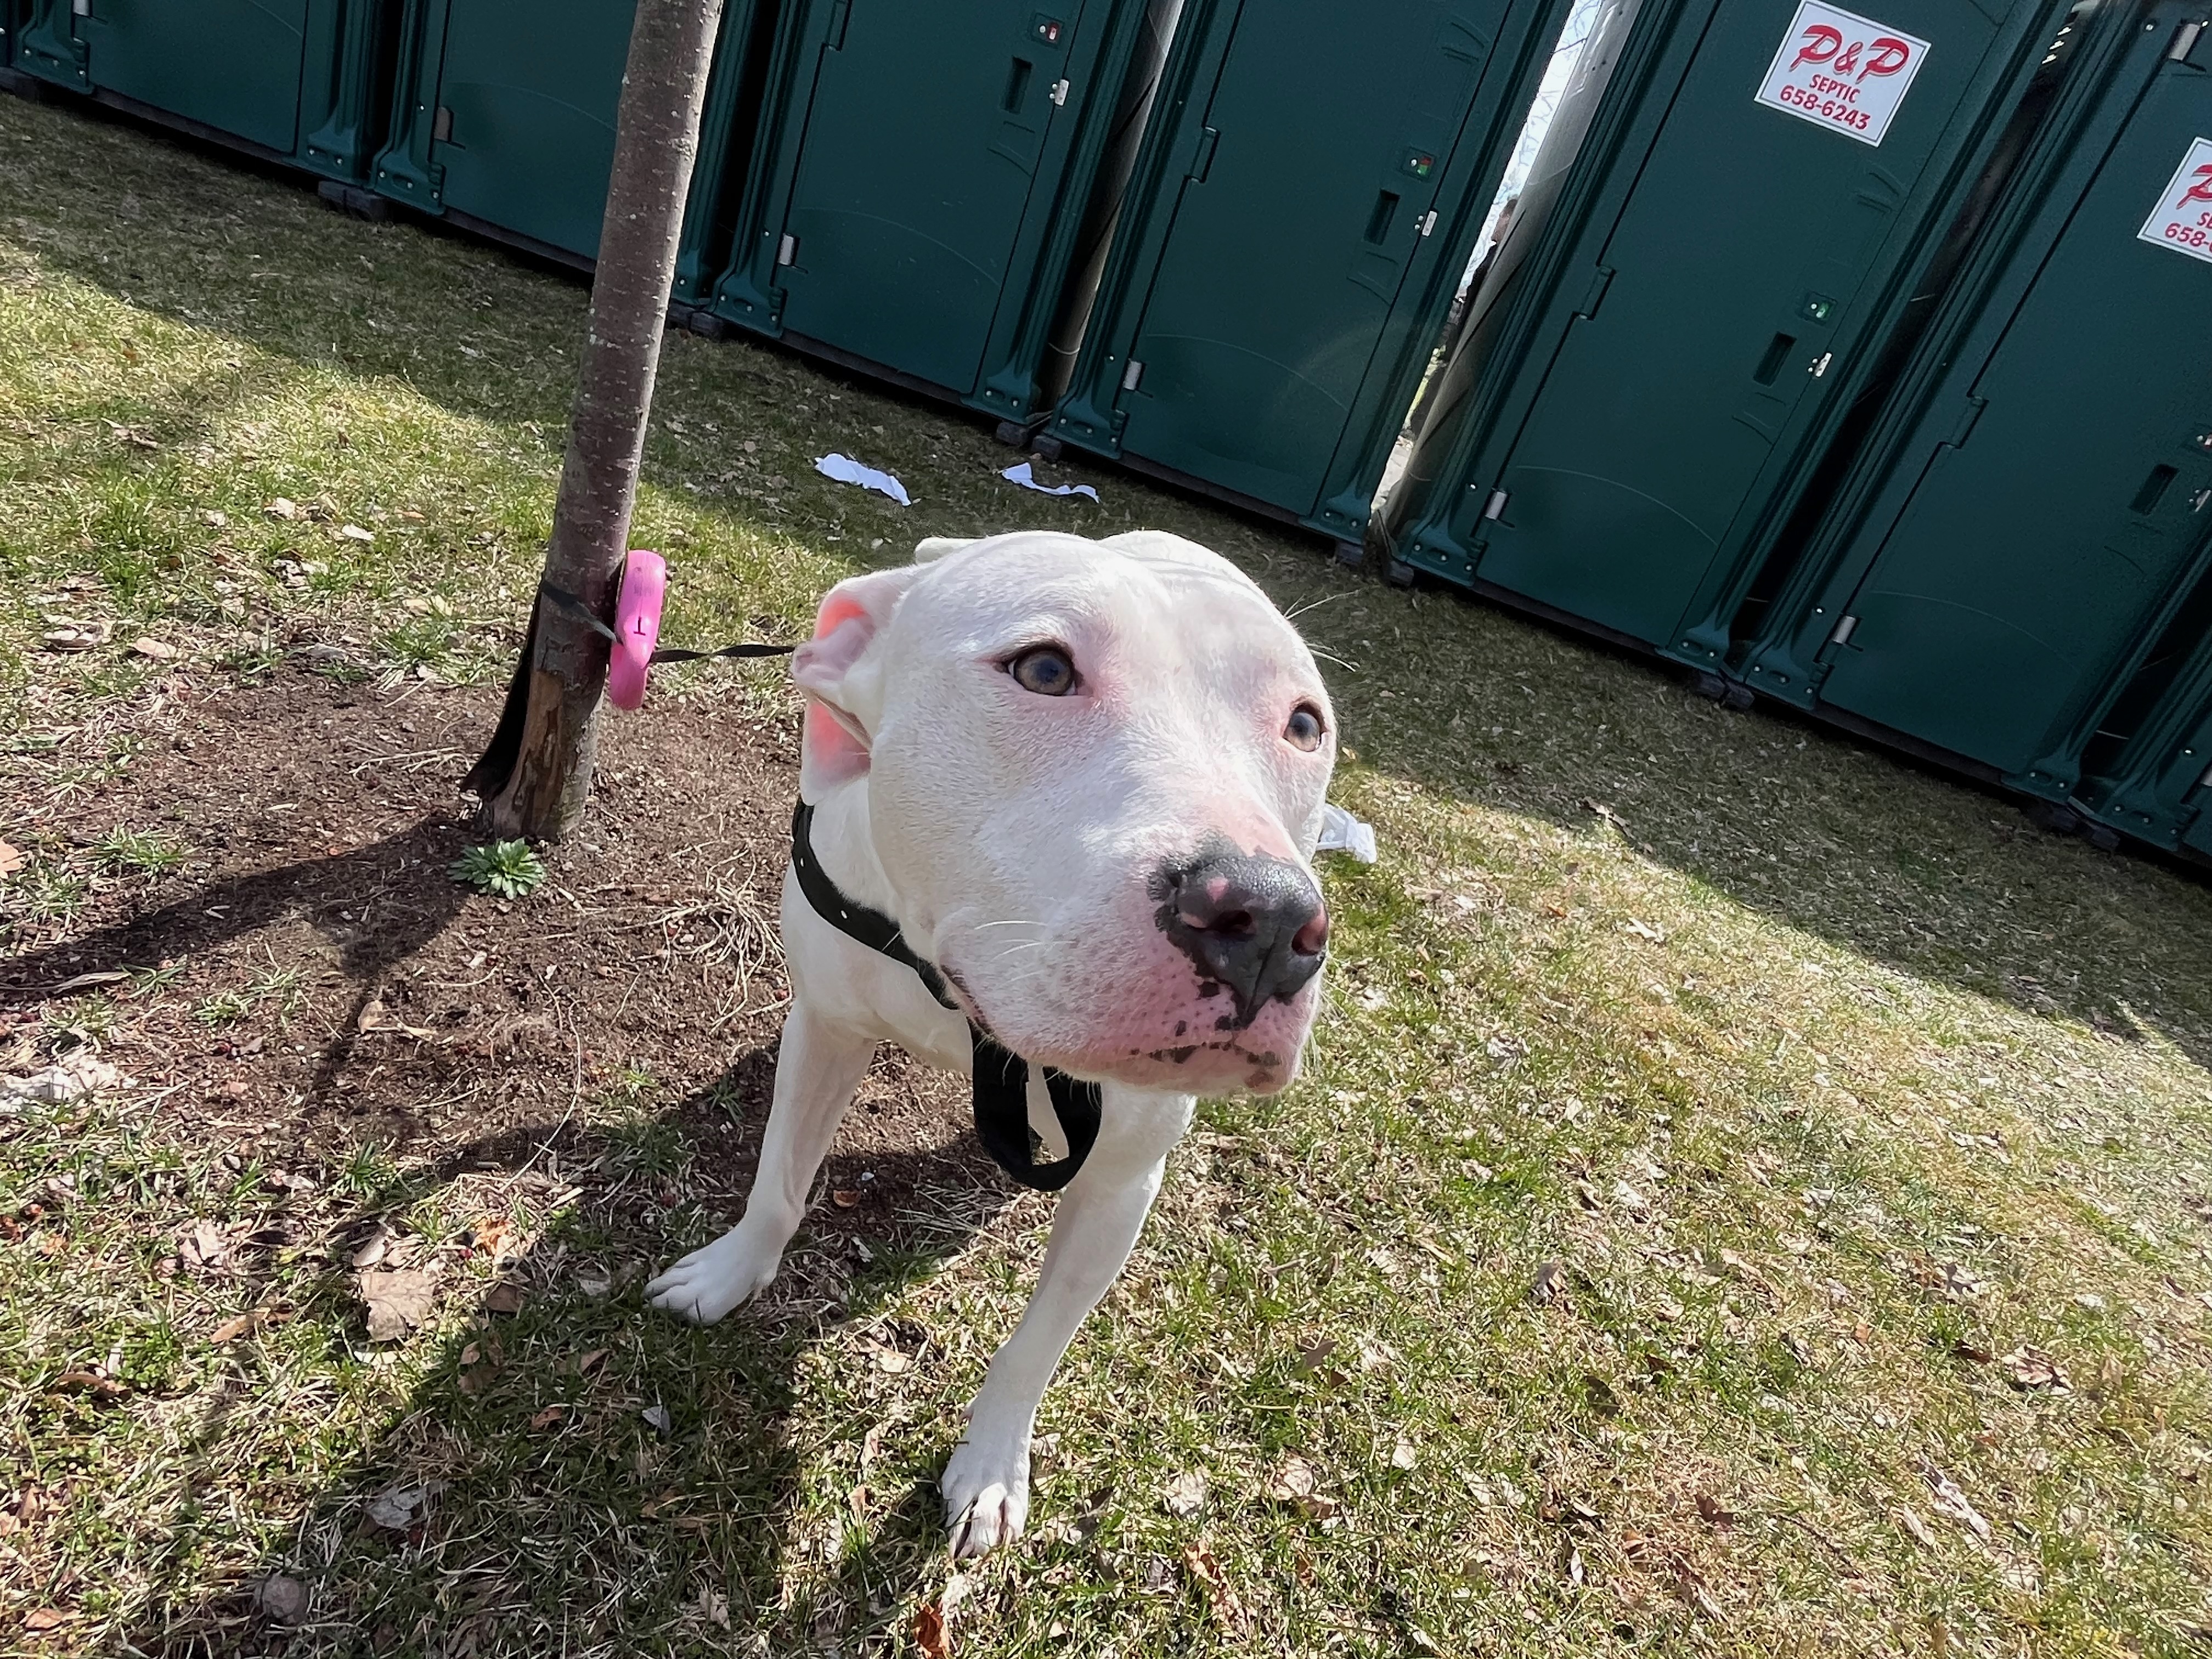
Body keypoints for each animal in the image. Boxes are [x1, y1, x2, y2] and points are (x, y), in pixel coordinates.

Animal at [647, 528, 1337, 1556]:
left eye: (1303, 726)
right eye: (1043, 670)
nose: (1270, 919)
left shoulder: (1119, 1181)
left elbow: (1037, 1345)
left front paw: (990, 1467)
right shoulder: (825, 1029)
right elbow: (777, 1180)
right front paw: (728, 1274)